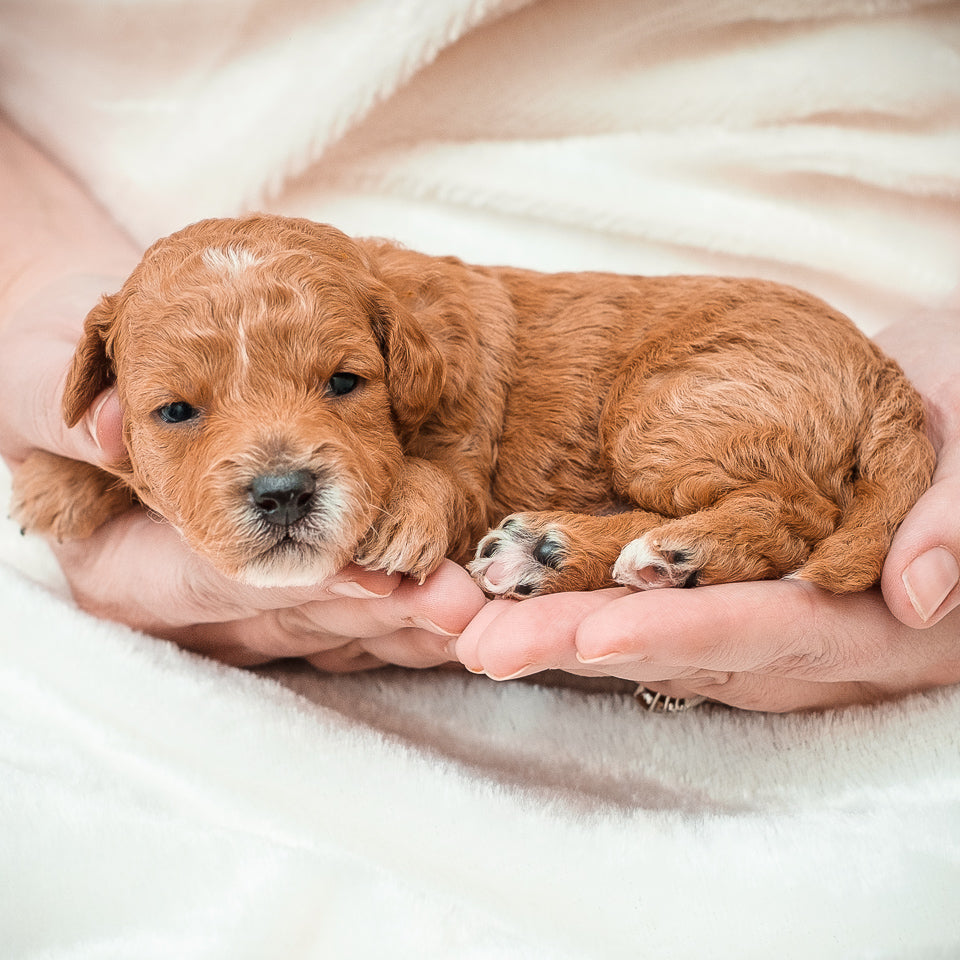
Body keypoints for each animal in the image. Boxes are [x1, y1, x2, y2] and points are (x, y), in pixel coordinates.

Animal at [9, 214, 936, 596]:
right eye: (175, 412)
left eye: (344, 383)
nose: (283, 494)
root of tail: (880, 364)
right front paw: (60, 479)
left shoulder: (466, 440)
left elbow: (440, 480)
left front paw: (400, 518)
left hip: (667, 412)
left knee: (794, 512)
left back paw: (631, 553)